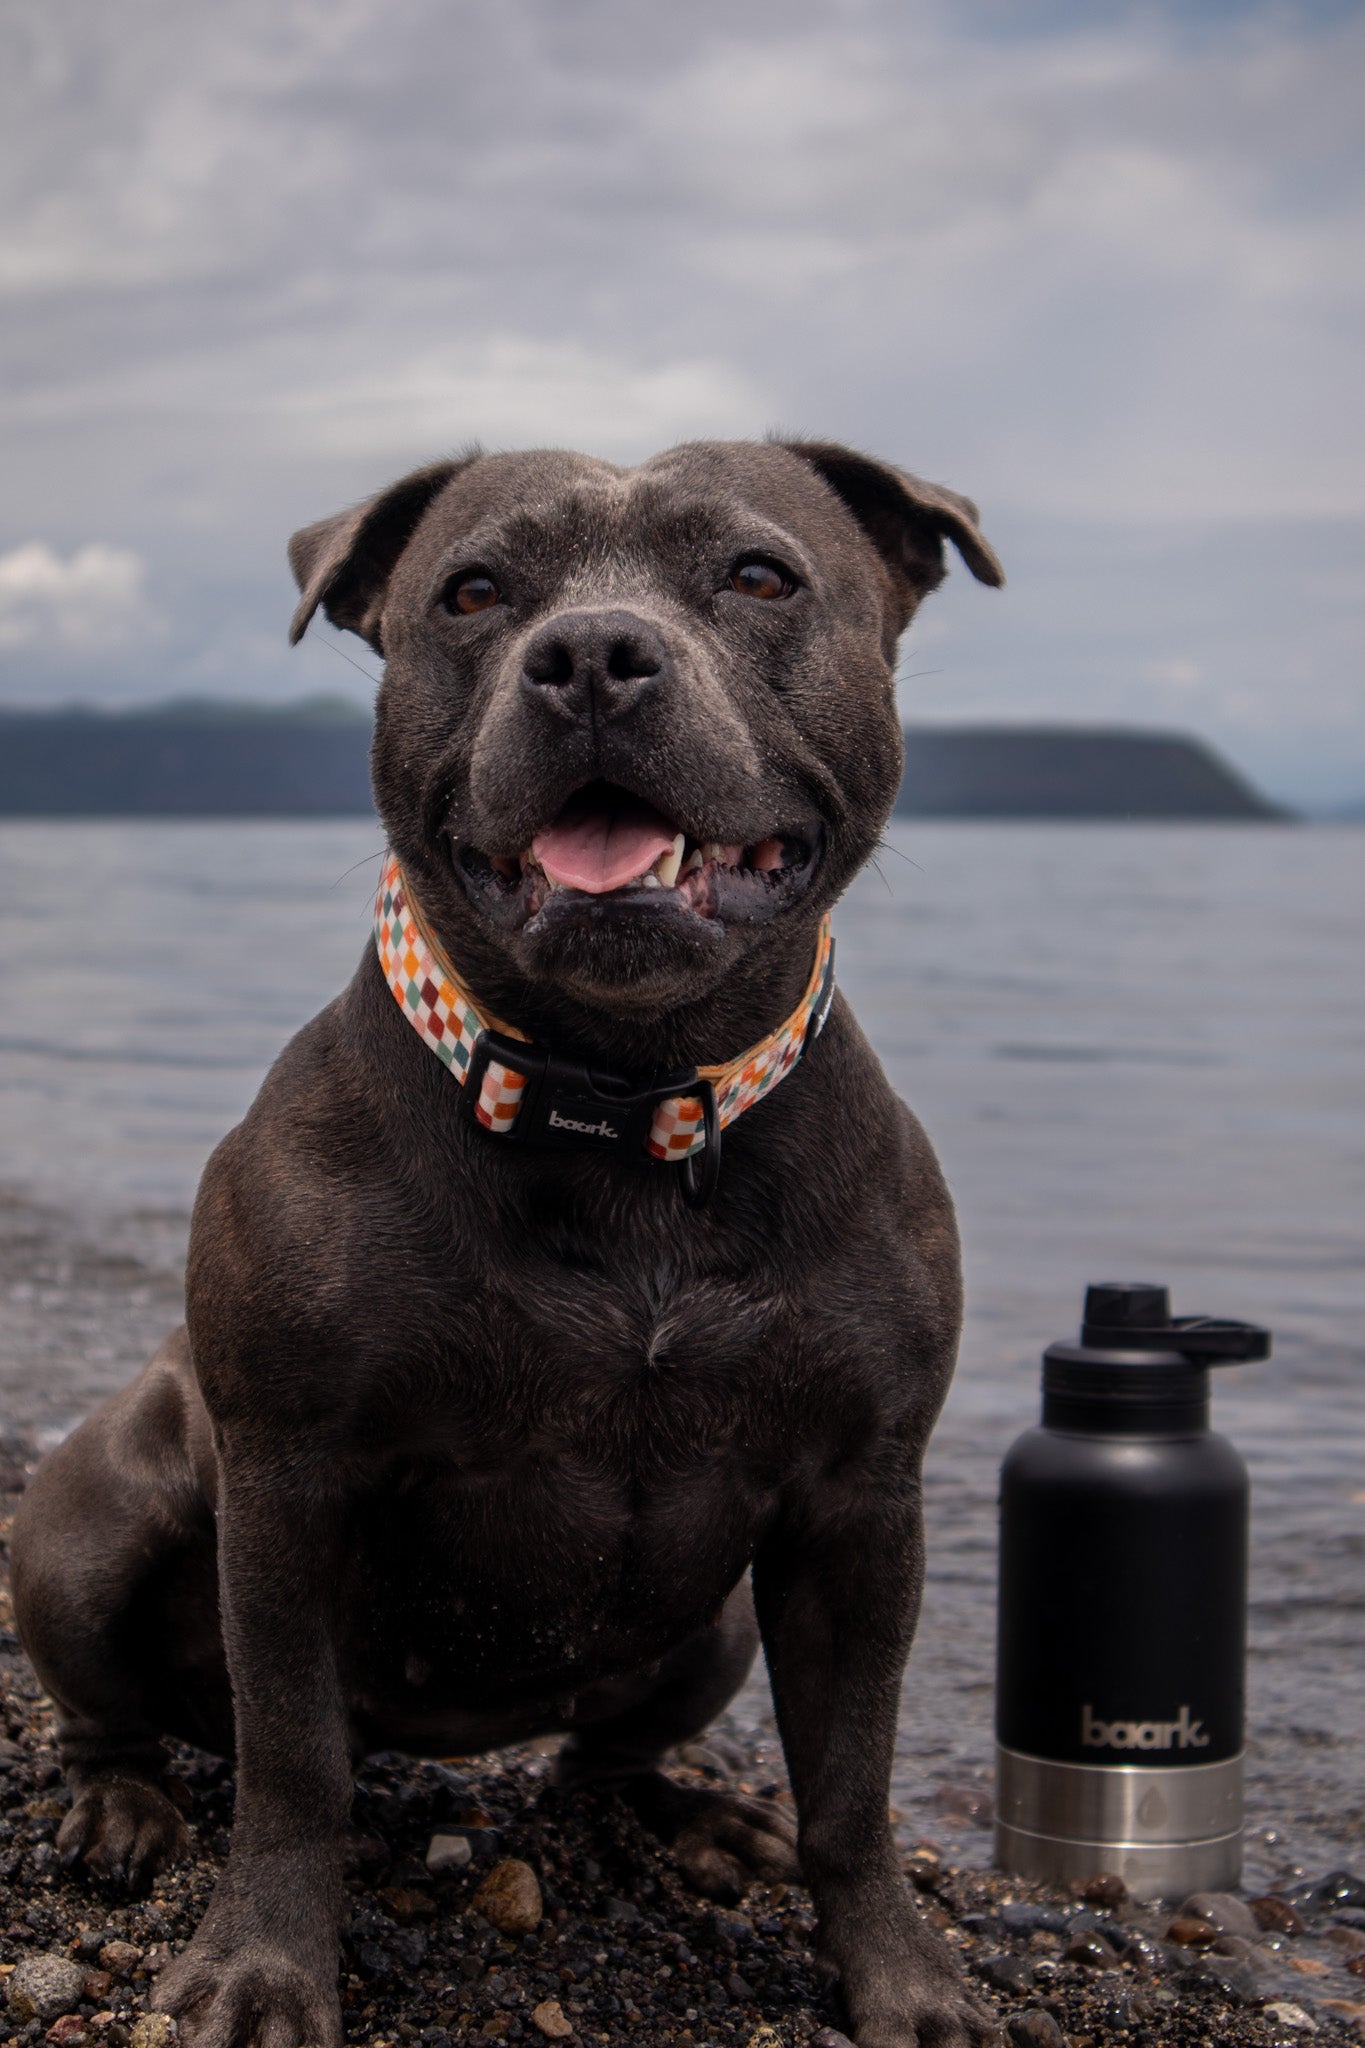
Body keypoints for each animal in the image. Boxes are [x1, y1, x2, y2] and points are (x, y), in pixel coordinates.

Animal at [10, 444, 1002, 2048]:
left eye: (759, 575)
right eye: (472, 592)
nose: (591, 654)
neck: (623, 1097)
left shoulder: (861, 1505)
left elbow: (853, 1779)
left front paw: (904, 1980)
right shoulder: (288, 1479)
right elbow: (293, 1763)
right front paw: (260, 1968)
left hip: (717, 1632)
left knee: (607, 1754)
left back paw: (690, 1816)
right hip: (88, 1521)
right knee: (119, 1710)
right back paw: (120, 1807)